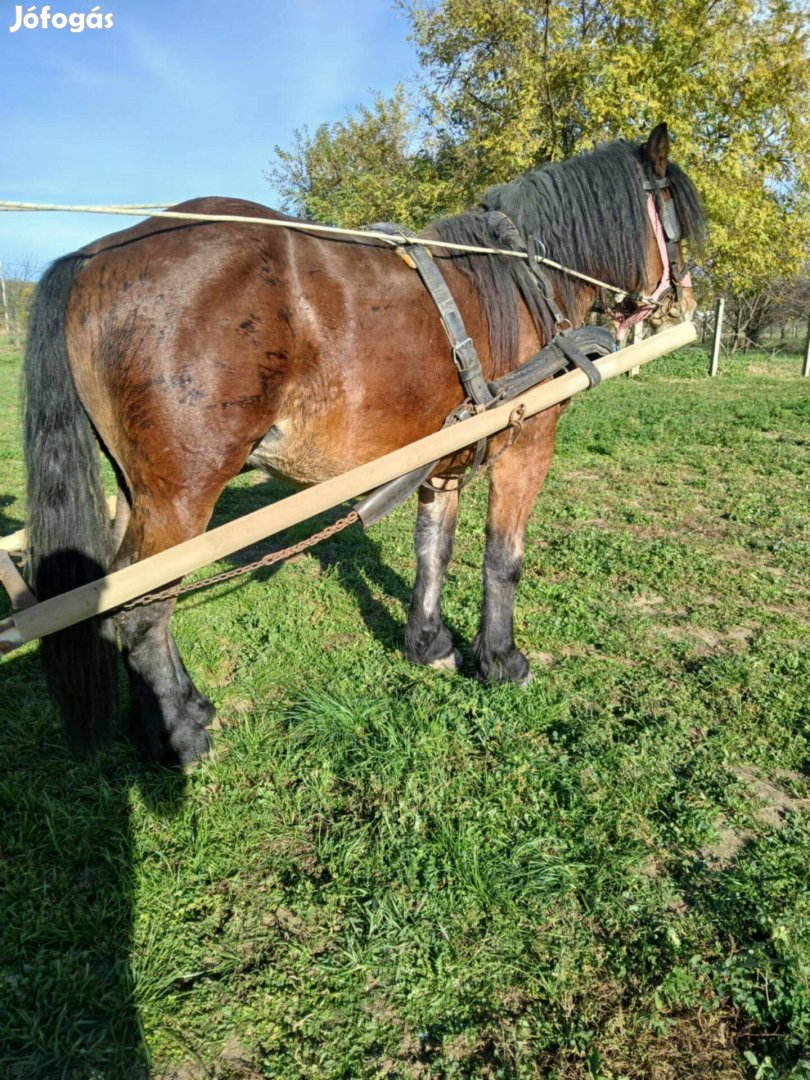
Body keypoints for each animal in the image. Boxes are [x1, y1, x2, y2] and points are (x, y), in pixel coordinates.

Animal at [23, 122, 704, 764]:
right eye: (677, 219)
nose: (686, 297)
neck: (523, 281)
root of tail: (90, 258)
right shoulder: (525, 445)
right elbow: (502, 559)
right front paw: (502, 660)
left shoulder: (443, 457)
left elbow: (435, 549)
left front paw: (429, 644)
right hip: (181, 495)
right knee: (142, 607)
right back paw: (181, 737)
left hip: (135, 489)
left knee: (118, 591)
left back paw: (174, 713)